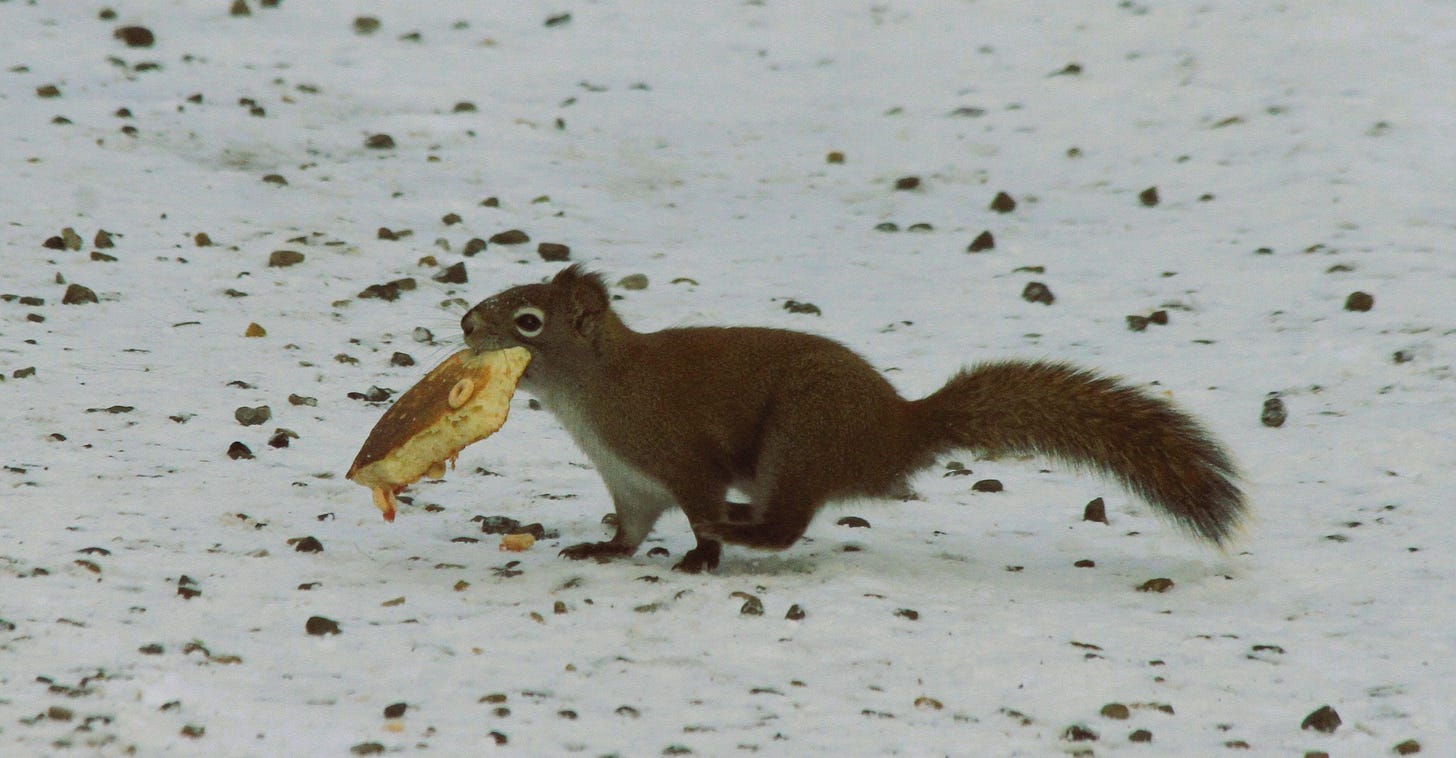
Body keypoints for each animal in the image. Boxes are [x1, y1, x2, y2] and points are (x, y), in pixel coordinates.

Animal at [460, 263, 1246, 570]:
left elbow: (698, 502)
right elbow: (630, 528)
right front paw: (603, 550)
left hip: (800, 440)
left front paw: (703, 553)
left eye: (528, 322)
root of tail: (898, 430)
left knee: (786, 523)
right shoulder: (631, 481)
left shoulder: (680, 456)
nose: (466, 322)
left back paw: (735, 529)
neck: (595, 394)